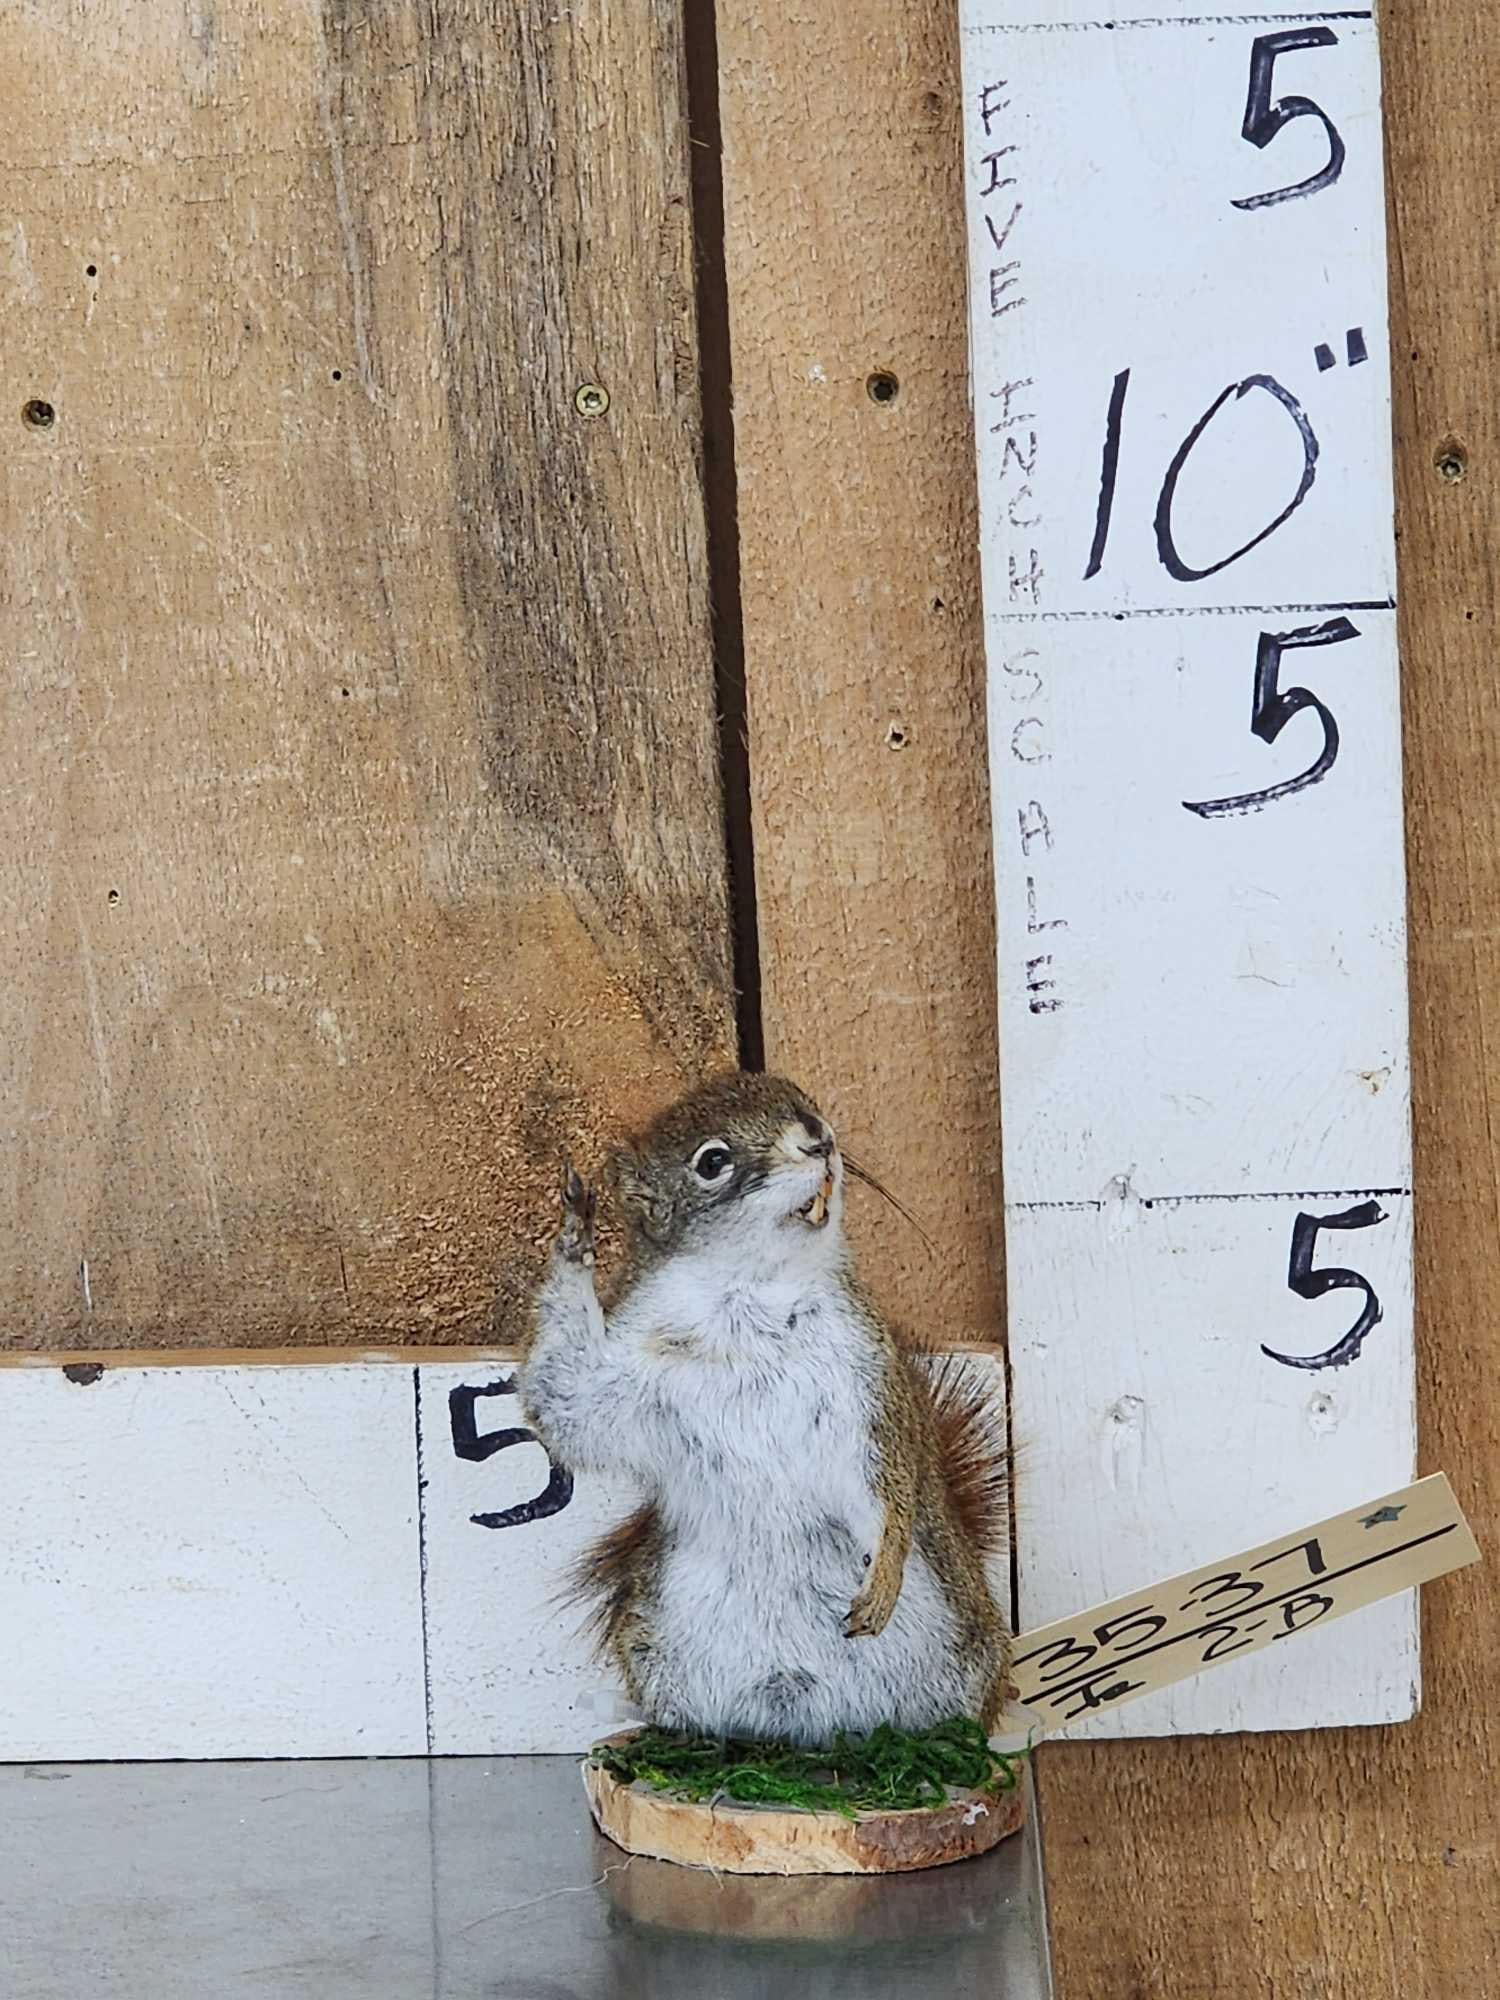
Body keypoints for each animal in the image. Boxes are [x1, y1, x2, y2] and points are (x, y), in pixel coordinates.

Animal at [519, 1071, 1012, 1748]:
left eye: (803, 1101)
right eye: (712, 1161)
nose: (819, 1138)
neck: (750, 1292)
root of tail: (817, 1732)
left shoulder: (866, 1388)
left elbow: (887, 1487)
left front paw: (882, 1580)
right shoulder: (626, 1380)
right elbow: (565, 1399)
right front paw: (573, 1231)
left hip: (966, 1656)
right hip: (656, 1648)